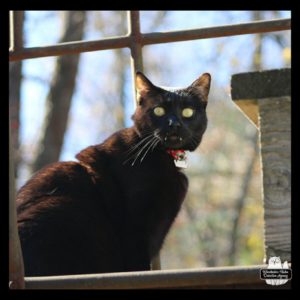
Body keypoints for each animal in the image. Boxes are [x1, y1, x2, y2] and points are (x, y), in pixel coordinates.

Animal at [15, 71, 209, 276]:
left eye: (187, 112)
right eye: (159, 111)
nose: (174, 124)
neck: (165, 157)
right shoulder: (135, 226)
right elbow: (138, 265)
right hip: (63, 209)